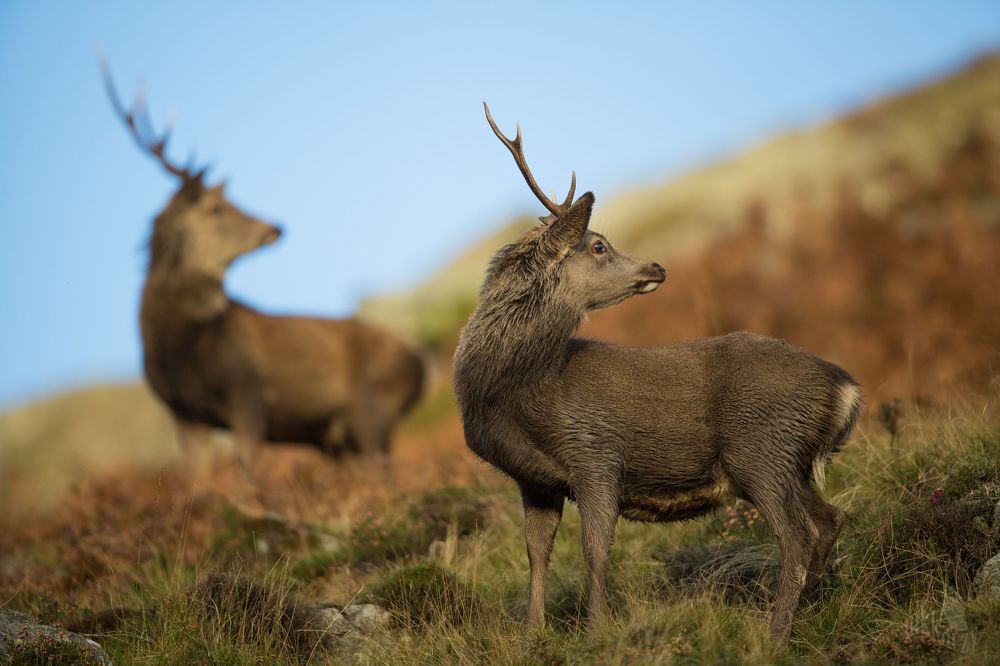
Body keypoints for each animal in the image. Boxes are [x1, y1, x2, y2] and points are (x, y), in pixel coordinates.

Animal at [101, 60, 424, 467]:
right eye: (216, 207)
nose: (275, 227)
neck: (181, 352)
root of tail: (422, 364)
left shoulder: (248, 392)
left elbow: (250, 468)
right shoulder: (182, 412)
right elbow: (195, 477)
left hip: (374, 412)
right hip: (337, 438)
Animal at [453, 104, 863, 643]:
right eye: (599, 246)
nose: (657, 266)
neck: (518, 393)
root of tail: (845, 389)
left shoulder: (596, 455)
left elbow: (594, 552)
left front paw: (595, 634)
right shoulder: (535, 480)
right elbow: (536, 557)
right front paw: (532, 636)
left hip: (762, 450)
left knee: (796, 538)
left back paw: (774, 634)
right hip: (788, 463)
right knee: (830, 520)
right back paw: (809, 608)